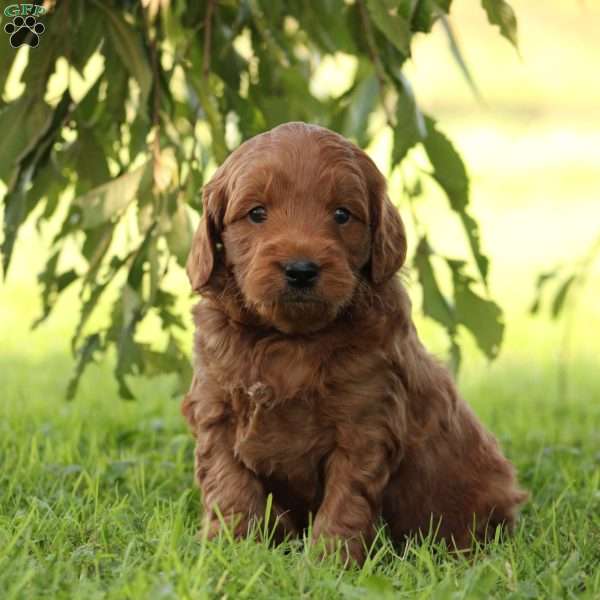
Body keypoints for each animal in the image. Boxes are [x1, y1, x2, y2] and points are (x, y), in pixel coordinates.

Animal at [182, 120, 524, 564]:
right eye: (256, 213)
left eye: (342, 214)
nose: (301, 270)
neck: (289, 340)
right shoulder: (216, 410)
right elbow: (230, 488)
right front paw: (231, 552)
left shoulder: (365, 424)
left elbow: (346, 500)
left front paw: (329, 562)